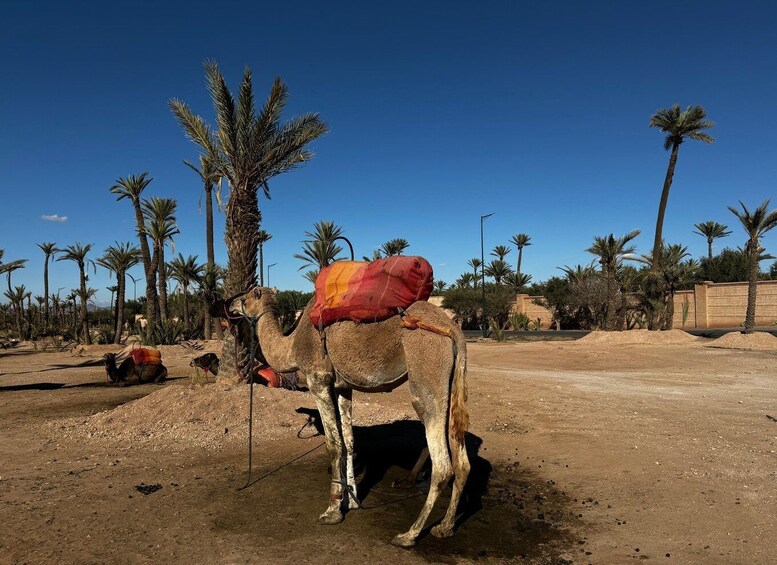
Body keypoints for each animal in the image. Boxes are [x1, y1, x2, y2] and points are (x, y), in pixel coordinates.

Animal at [221, 286, 470, 548]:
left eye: (245, 297)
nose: (229, 304)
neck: (292, 345)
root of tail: (453, 328)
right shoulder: (343, 387)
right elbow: (349, 442)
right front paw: (351, 501)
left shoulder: (318, 380)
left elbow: (334, 444)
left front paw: (332, 510)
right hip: (453, 381)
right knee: (462, 461)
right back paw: (444, 527)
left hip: (427, 370)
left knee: (442, 465)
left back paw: (409, 535)